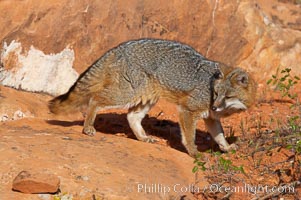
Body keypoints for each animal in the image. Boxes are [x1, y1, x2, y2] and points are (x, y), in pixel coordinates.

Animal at [49, 38, 255, 157]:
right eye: (216, 94)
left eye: (227, 96)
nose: (214, 107)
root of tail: (119, 47)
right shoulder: (188, 110)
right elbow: (189, 136)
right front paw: (193, 152)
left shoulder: (211, 118)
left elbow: (219, 135)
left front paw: (227, 147)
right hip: (125, 95)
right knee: (95, 99)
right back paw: (88, 127)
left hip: (146, 99)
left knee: (131, 117)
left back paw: (143, 138)